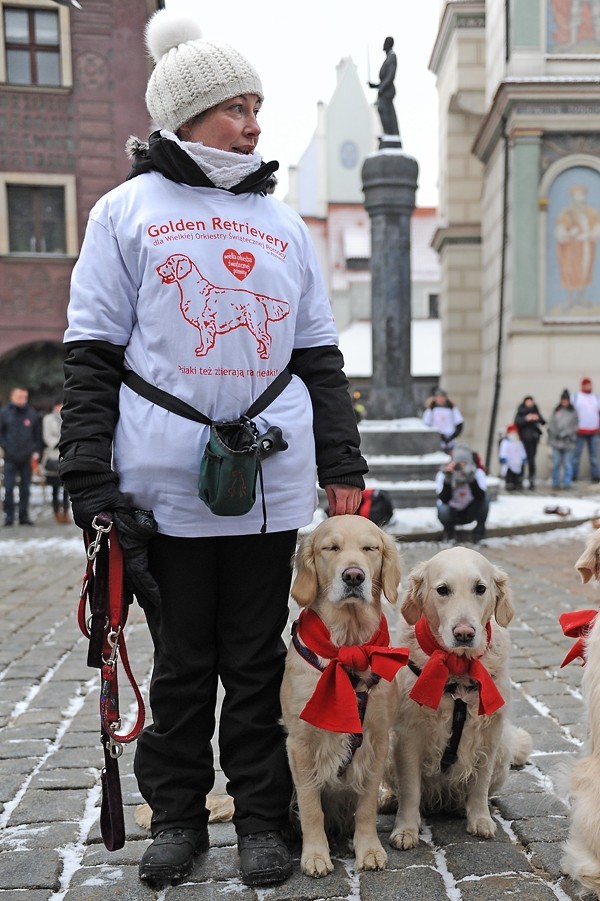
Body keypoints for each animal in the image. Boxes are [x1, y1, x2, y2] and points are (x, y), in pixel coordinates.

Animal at [156, 253, 290, 358]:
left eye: (169, 263)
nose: (157, 269)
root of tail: (258, 297)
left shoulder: (206, 323)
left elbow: (206, 339)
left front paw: (203, 352)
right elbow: (203, 340)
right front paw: (200, 349)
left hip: (255, 323)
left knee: (267, 338)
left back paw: (266, 355)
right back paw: (260, 350)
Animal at [278, 516, 406, 876]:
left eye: (369, 548)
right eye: (331, 548)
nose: (353, 576)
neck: (348, 646)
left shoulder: (377, 739)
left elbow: (366, 806)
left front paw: (369, 849)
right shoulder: (300, 743)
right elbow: (310, 806)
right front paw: (315, 855)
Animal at [382, 544, 532, 848]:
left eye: (480, 588)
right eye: (442, 590)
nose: (464, 633)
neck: (458, 668)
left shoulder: (489, 734)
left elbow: (479, 784)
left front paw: (480, 819)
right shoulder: (408, 735)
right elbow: (411, 789)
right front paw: (405, 829)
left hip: (503, 753)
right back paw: (390, 800)